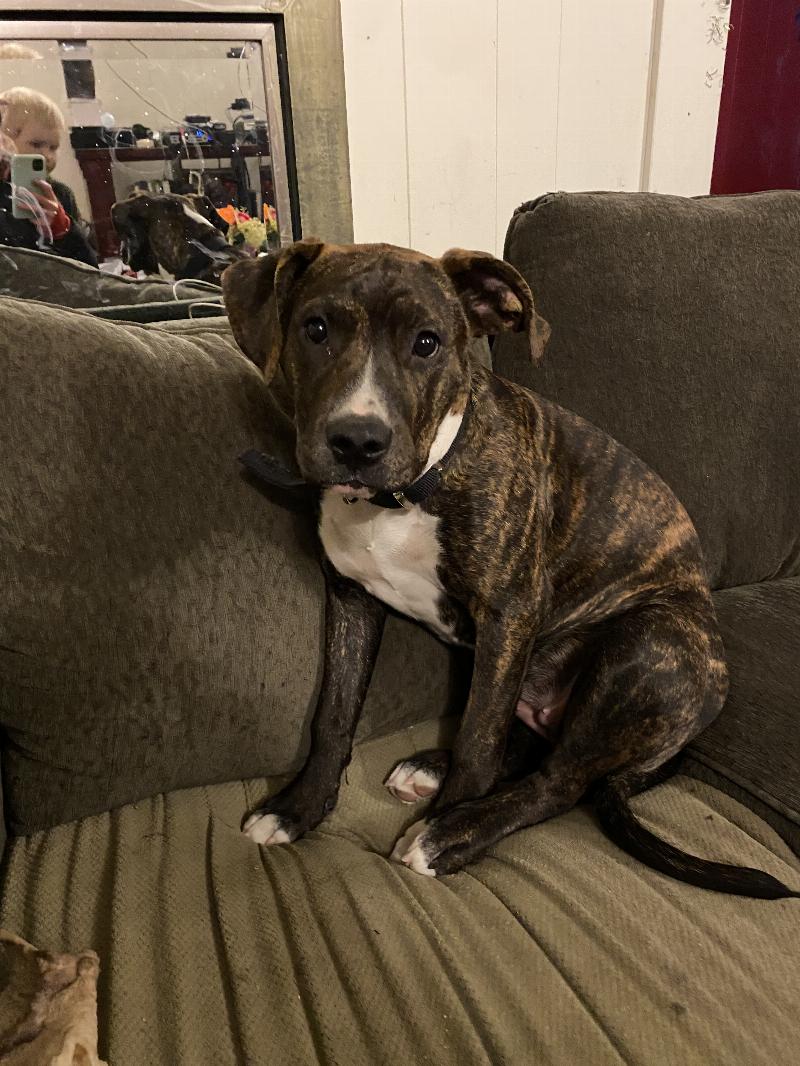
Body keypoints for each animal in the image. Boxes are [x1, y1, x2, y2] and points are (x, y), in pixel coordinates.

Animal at [223, 240, 798, 899]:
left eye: (427, 343)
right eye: (314, 330)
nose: (357, 442)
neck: (406, 492)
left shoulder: (508, 615)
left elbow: (478, 735)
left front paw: (447, 824)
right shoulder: (351, 598)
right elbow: (335, 715)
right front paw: (297, 808)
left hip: (650, 641)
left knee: (557, 780)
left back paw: (453, 830)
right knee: (525, 743)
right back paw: (430, 768)